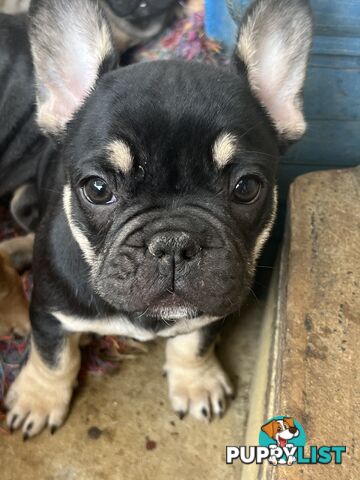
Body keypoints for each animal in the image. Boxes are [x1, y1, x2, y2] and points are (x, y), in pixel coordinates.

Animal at [2, 0, 312, 438]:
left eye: (247, 187)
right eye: (98, 189)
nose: (174, 242)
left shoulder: (213, 305)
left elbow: (194, 342)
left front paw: (196, 382)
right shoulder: (49, 311)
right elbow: (53, 356)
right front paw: (39, 399)